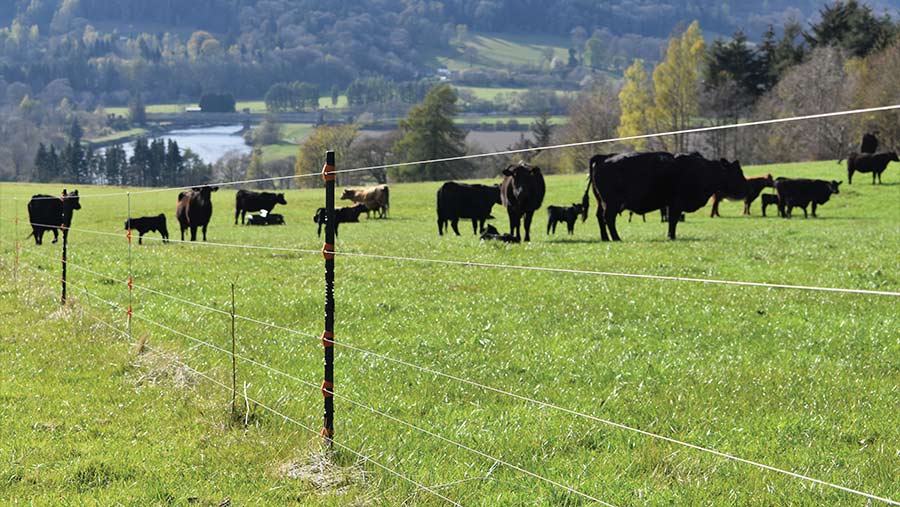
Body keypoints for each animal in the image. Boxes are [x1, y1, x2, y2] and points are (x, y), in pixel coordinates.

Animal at [584, 152, 744, 241]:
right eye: (737, 173)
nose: (744, 188)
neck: (703, 170)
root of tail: (604, 157)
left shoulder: (670, 204)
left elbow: (671, 220)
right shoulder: (676, 203)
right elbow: (673, 220)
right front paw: (671, 236)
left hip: (601, 202)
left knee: (600, 217)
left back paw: (605, 238)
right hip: (612, 203)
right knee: (608, 218)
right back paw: (616, 238)